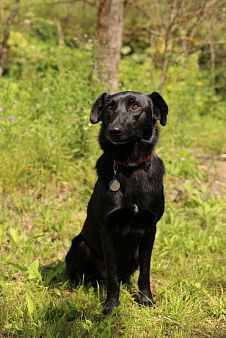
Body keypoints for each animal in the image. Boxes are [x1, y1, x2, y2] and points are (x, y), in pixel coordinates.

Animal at [65, 90, 168, 314]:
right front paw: (111, 306)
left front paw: (146, 299)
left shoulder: (150, 229)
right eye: (109, 107)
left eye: (135, 106)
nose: (113, 131)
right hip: (79, 244)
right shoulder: (107, 230)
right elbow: (112, 275)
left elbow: (145, 271)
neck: (129, 167)